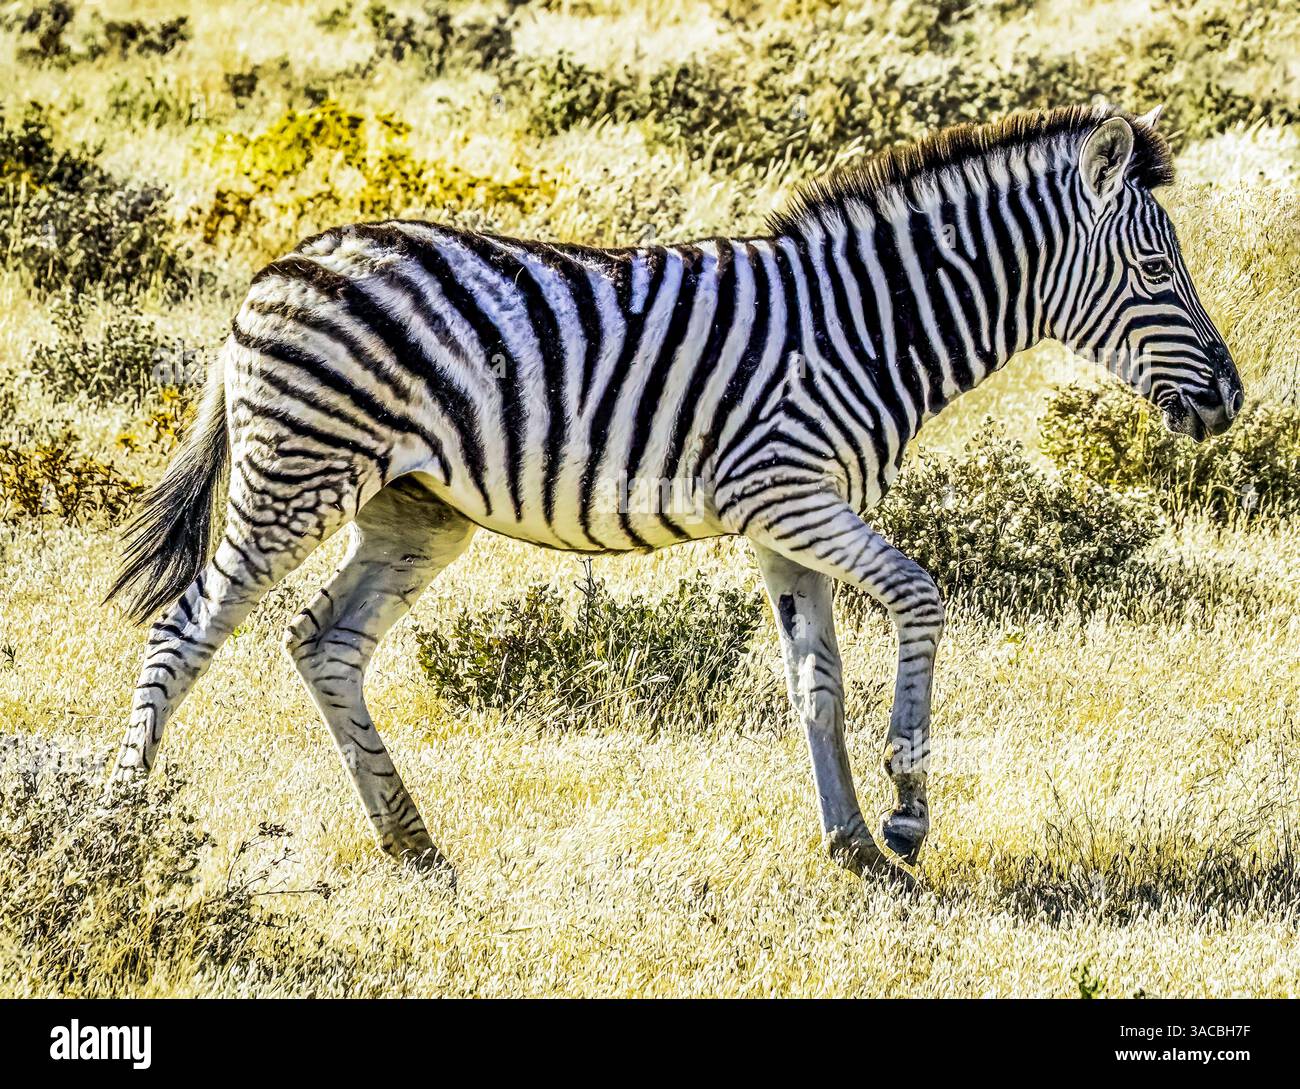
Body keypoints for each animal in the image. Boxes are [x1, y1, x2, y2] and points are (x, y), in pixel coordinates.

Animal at [106, 104, 1243, 879]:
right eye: (1156, 272)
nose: (1230, 401)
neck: (870, 322)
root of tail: (276, 266)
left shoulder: (784, 522)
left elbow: (814, 681)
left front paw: (851, 844)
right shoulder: (782, 492)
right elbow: (920, 596)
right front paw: (908, 812)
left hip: (416, 511)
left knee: (323, 643)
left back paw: (413, 842)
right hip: (296, 474)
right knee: (181, 631)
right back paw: (115, 834)